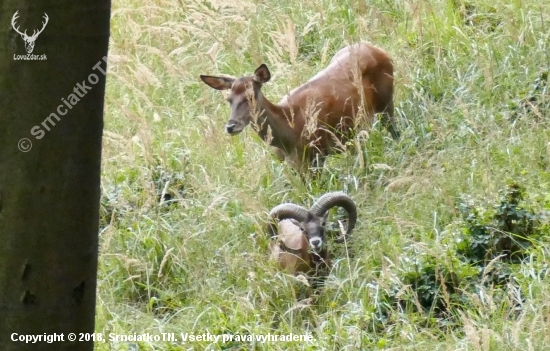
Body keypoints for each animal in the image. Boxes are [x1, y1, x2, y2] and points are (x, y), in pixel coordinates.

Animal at [201, 42, 398, 174]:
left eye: (250, 97)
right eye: (229, 99)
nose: (231, 126)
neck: (288, 135)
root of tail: (377, 48)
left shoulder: (317, 152)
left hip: (386, 100)